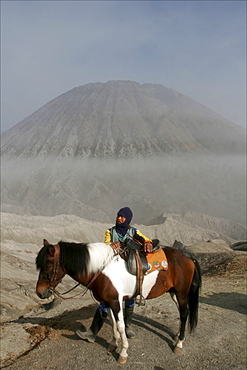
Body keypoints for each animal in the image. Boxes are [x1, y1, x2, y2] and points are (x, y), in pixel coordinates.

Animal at [35, 240, 202, 364]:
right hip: (174, 292)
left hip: (181, 293)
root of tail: (187, 256)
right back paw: (177, 336)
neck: (101, 270)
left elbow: (121, 326)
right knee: (182, 312)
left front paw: (123, 352)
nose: (39, 292)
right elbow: (113, 322)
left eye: (47, 266)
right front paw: (113, 344)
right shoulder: (107, 302)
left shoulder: (116, 302)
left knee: (184, 313)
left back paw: (179, 343)